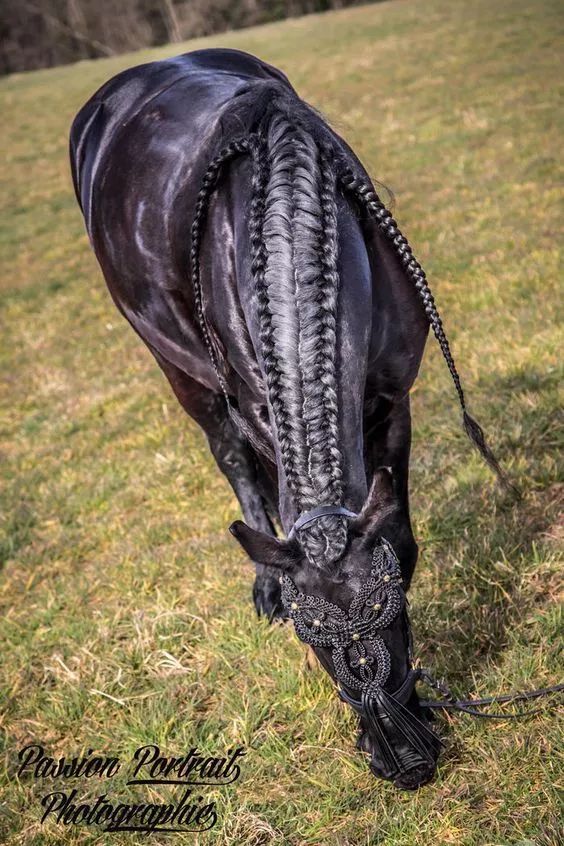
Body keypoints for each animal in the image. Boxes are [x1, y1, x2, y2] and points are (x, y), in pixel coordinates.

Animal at [68, 49, 504, 792]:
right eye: (313, 639)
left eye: (391, 608)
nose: (404, 763)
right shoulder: (261, 412)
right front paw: (279, 588)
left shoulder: (394, 401)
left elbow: (401, 534)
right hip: (176, 365)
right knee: (231, 458)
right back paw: (264, 579)